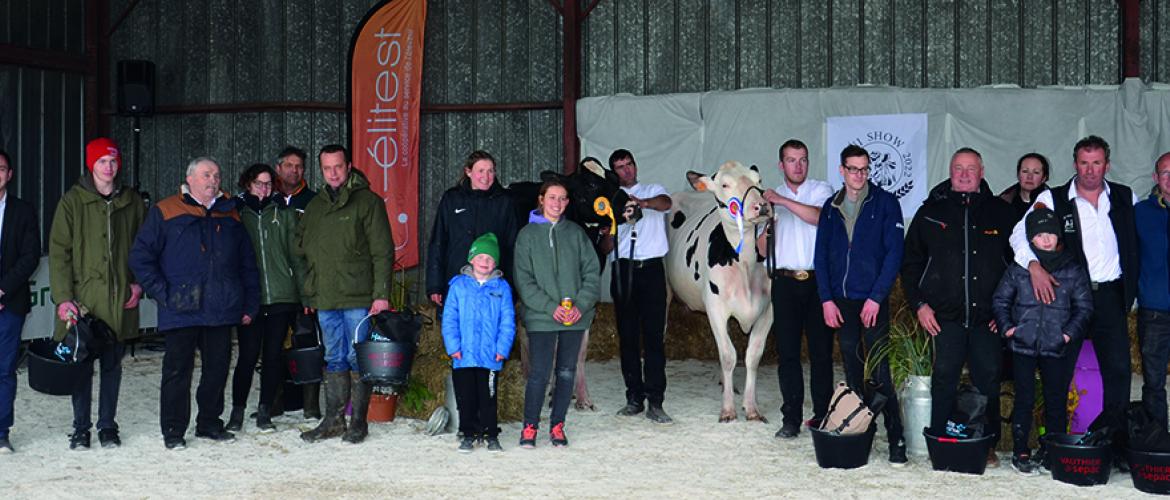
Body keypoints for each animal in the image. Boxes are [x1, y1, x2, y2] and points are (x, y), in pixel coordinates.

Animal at [664, 161, 772, 423]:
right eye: (724, 184)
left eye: (759, 180)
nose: (762, 205)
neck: (745, 265)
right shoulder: (716, 308)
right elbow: (728, 355)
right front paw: (728, 409)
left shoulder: (768, 310)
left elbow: (752, 356)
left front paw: (751, 408)